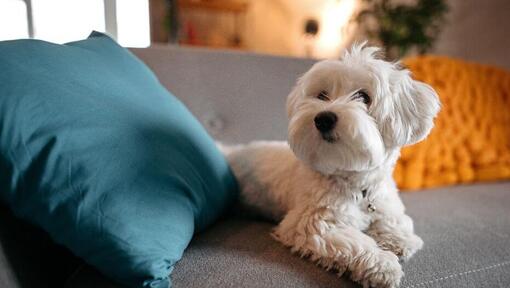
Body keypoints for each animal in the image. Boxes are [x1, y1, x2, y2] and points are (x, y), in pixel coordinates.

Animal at [221, 44, 440, 288]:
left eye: (363, 97)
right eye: (322, 95)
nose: (323, 118)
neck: (357, 186)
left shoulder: (384, 202)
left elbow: (395, 220)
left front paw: (398, 239)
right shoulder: (312, 224)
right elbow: (356, 244)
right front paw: (383, 265)